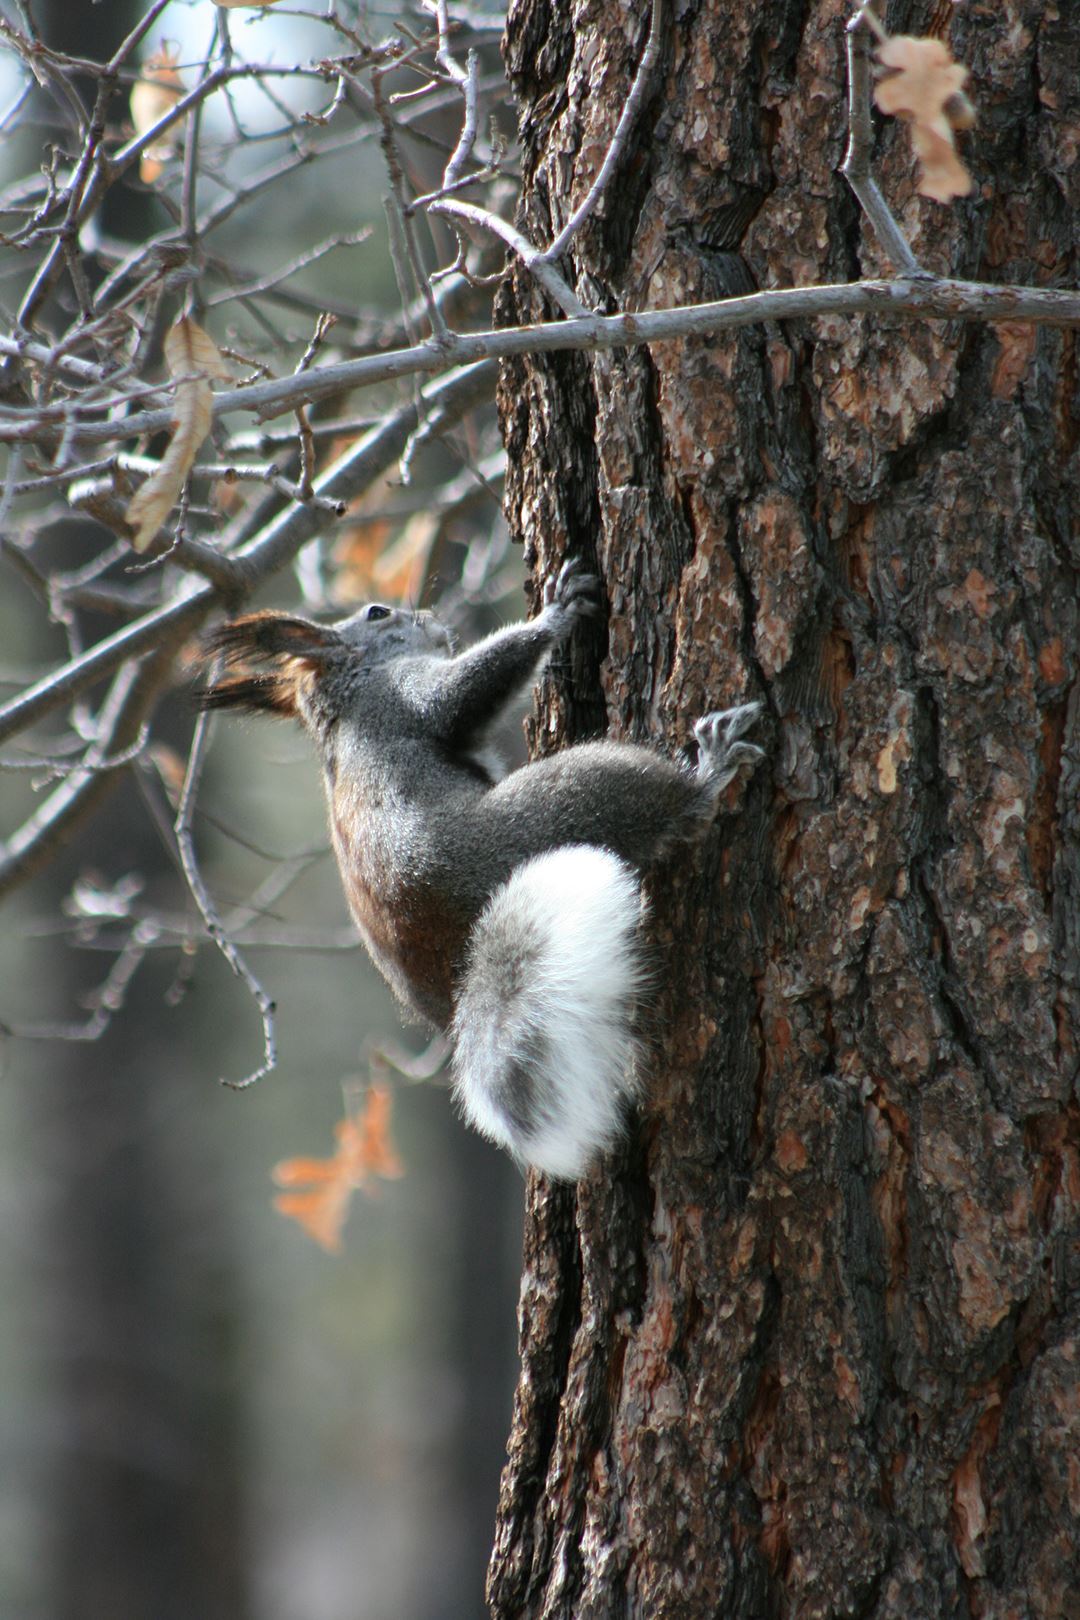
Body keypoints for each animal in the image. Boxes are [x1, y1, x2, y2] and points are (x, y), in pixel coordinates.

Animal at [199, 562, 764, 1180]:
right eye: (378, 613)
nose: (432, 619)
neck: (343, 701)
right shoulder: (402, 695)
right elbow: (466, 687)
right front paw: (556, 612)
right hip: (565, 802)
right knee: (671, 803)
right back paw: (709, 770)